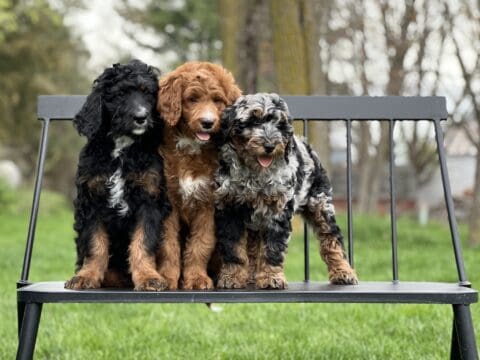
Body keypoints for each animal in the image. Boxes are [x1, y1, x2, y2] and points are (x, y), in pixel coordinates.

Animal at [64, 60, 172, 292]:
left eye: (148, 93)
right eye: (120, 94)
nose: (141, 117)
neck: (122, 149)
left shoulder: (149, 199)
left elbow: (143, 242)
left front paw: (148, 277)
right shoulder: (91, 200)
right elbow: (95, 243)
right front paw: (86, 276)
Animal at [157, 60, 240, 288]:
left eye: (218, 100)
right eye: (192, 99)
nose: (208, 123)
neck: (191, 147)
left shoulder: (208, 204)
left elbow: (200, 244)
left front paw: (196, 279)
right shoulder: (169, 201)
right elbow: (168, 245)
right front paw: (167, 278)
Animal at [216, 93, 358, 290]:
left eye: (280, 125)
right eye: (253, 120)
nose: (270, 146)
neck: (255, 174)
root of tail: (307, 146)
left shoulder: (278, 210)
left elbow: (273, 248)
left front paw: (270, 277)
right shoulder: (230, 208)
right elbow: (233, 247)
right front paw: (232, 276)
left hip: (320, 205)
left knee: (332, 238)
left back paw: (343, 272)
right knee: (253, 247)